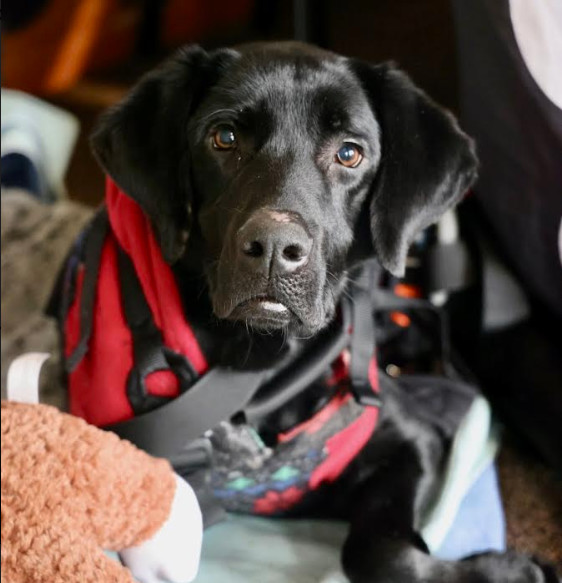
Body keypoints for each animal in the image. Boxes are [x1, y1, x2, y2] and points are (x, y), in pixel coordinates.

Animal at [89, 43, 552, 580]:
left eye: (349, 153)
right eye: (224, 137)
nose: (274, 247)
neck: (262, 364)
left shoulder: (409, 438)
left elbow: (380, 548)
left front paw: (504, 570)